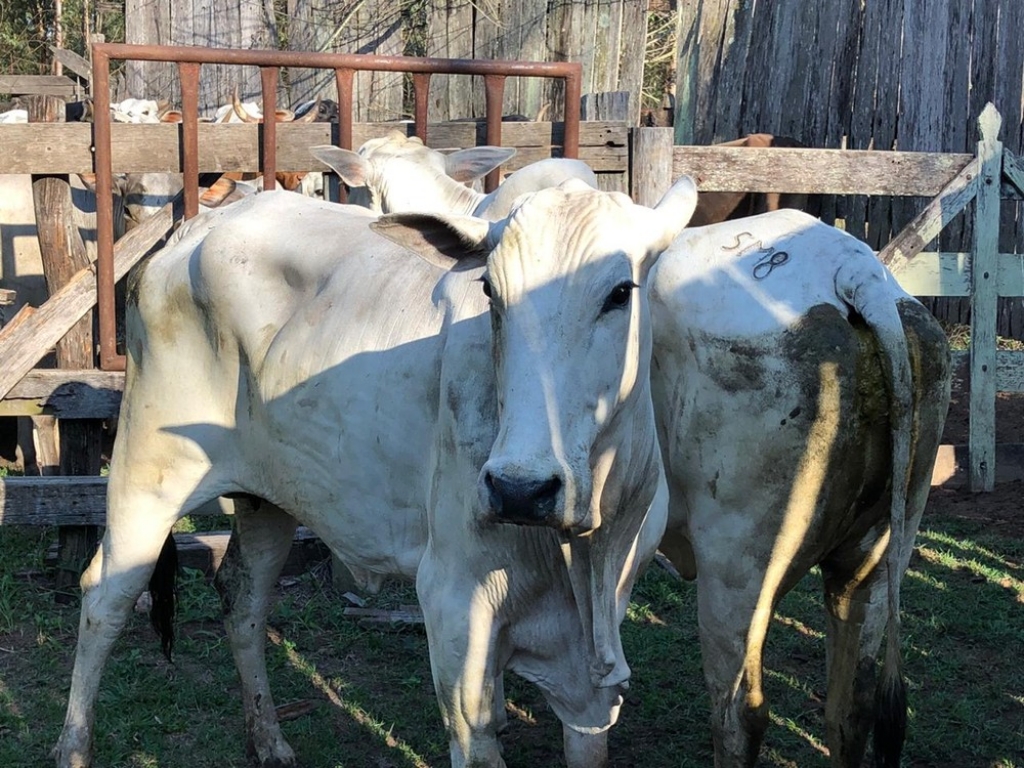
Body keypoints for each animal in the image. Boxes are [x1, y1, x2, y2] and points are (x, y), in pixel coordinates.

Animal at [54, 176, 696, 768]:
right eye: (491, 291)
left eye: (620, 292)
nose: (520, 489)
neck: (587, 550)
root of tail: (195, 227)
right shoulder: (453, 607)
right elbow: (475, 733)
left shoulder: (597, 656)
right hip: (147, 469)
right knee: (106, 597)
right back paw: (74, 748)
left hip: (271, 496)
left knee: (243, 598)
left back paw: (270, 741)